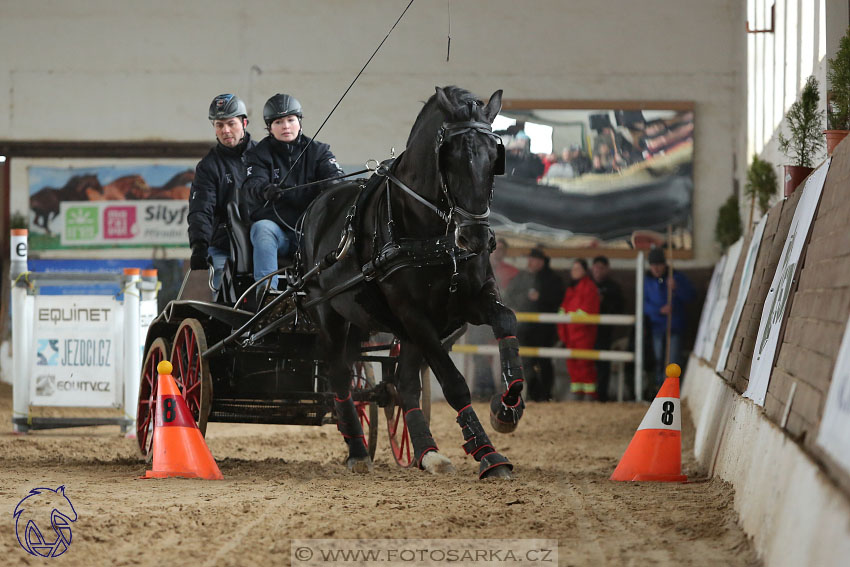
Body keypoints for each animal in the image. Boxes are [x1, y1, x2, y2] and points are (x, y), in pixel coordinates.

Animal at [298, 86, 524, 480]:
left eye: (494, 157)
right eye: (451, 157)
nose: (476, 238)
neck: (432, 232)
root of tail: (317, 204)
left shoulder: (470, 300)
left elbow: (506, 320)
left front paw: (507, 406)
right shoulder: (413, 314)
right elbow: (454, 384)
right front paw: (488, 453)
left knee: (402, 384)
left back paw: (426, 453)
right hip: (330, 314)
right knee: (340, 376)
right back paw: (358, 450)